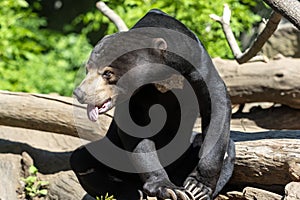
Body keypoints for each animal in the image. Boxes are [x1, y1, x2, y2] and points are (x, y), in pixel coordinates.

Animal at [71, 8, 236, 199]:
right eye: (87, 70)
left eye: (107, 73)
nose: (80, 94)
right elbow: (134, 128)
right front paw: (168, 189)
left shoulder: (198, 64)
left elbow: (216, 102)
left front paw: (197, 187)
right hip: (114, 153)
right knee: (81, 159)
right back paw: (134, 192)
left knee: (228, 149)